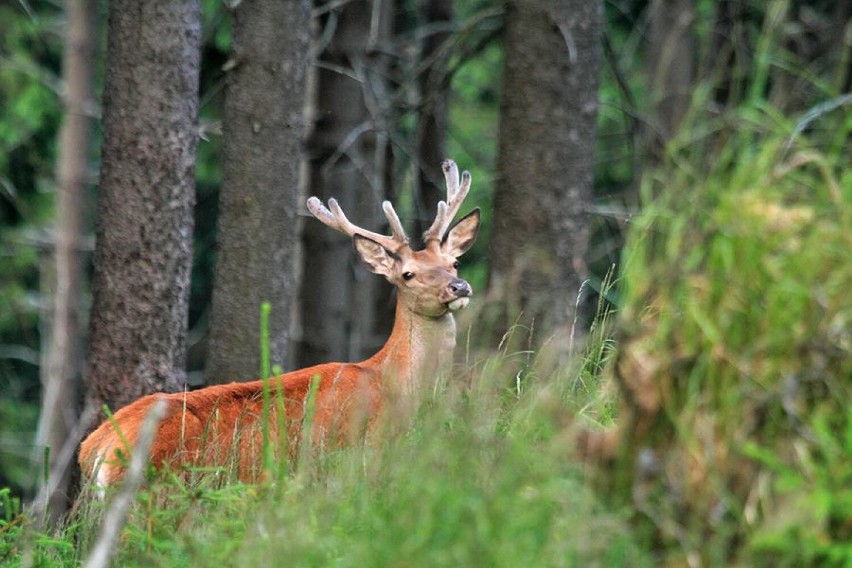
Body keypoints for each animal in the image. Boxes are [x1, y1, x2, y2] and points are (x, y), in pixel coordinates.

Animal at [78, 159, 480, 488]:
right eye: (408, 274)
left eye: (453, 263)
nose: (459, 287)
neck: (393, 384)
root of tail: (95, 448)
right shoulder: (358, 459)